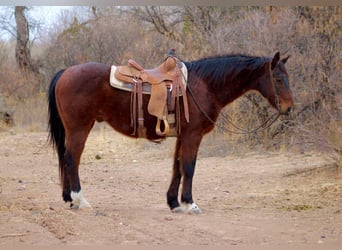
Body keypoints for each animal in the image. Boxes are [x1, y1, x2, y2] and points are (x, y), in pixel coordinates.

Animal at [48, 51, 294, 214]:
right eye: (278, 79)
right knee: (72, 159)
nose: (289, 107)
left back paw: (69, 199)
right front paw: (190, 203)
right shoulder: (193, 135)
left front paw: (174, 203)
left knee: (66, 158)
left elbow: (177, 167)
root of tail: (65, 72)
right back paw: (80, 199)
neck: (204, 85)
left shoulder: (182, 136)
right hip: (80, 128)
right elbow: (189, 167)